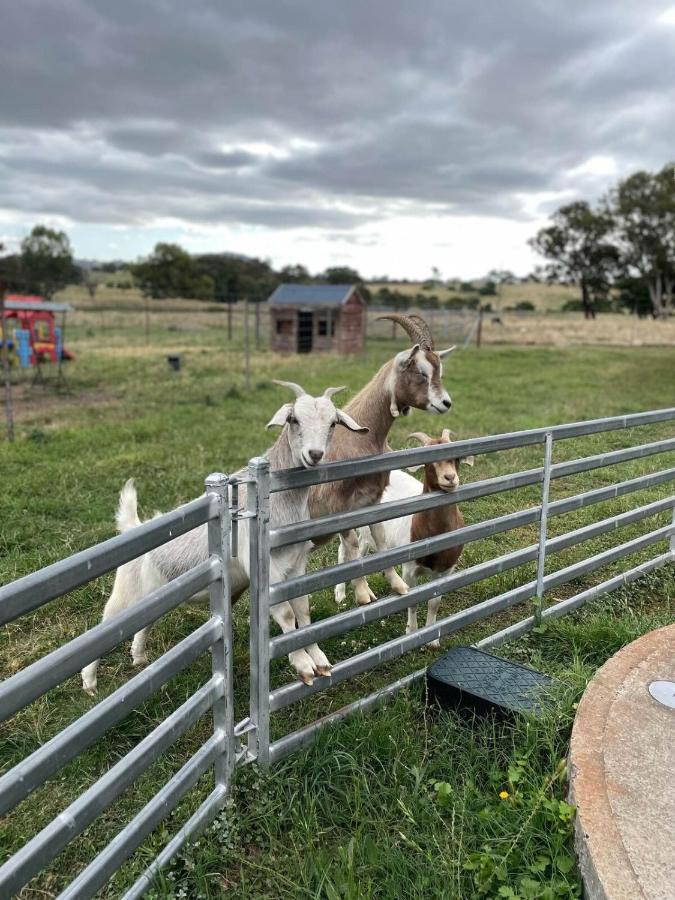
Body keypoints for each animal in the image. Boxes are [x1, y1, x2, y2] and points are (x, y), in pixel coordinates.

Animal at [81, 384, 368, 692]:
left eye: (333, 423)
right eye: (294, 420)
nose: (314, 454)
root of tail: (133, 528)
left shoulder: (295, 563)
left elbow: (302, 609)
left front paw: (319, 660)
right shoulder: (266, 566)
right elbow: (286, 613)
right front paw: (302, 664)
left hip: (152, 596)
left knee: (143, 624)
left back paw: (138, 657)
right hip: (126, 594)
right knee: (104, 628)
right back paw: (89, 682)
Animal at [310, 314, 456, 604]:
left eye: (439, 371)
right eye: (421, 372)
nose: (446, 403)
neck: (360, 436)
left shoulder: (373, 501)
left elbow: (378, 540)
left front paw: (392, 585)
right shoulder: (340, 506)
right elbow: (352, 545)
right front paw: (363, 593)